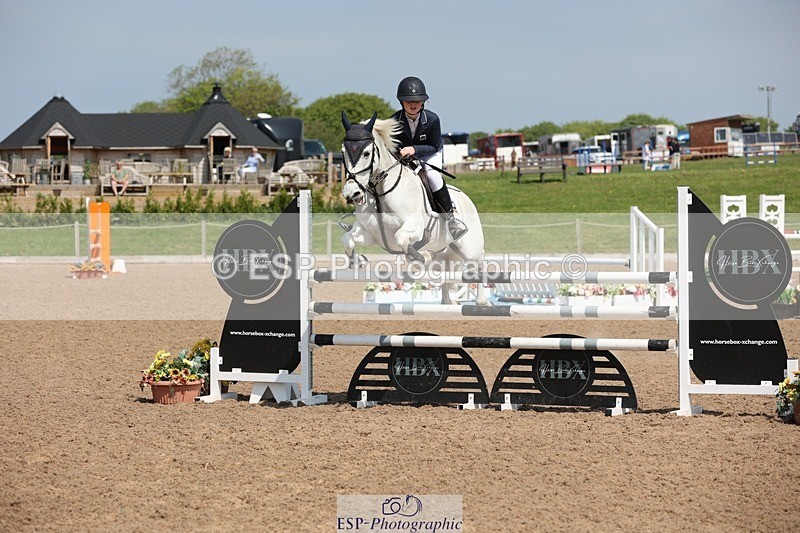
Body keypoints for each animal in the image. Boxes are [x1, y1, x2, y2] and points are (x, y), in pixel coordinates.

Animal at [339, 111, 487, 305]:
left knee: (479, 260)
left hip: (470, 248)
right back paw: (448, 300)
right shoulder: (368, 233)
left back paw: (481, 300)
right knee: (446, 267)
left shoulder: (415, 227)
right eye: (343, 152)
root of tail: (466, 197)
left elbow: (401, 238)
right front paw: (359, 261)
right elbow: (347, 240)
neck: (380, 193)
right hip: (447, 249)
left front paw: (421, 256)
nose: (352, 193)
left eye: (366, 153)